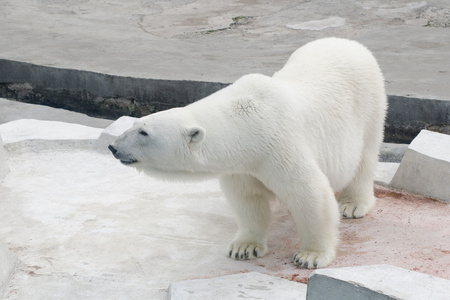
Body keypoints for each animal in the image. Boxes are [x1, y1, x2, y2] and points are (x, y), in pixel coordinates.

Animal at [108, 38, 386, 270]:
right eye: (135, 124)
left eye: (144, 132)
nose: (114, 146)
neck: (246, 123)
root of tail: (350, 43)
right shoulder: (242, 165)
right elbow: (248, 199)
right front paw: (244, 248)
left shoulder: (279, 144)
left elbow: (309, 193)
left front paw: (310, 255)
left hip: (370, 103)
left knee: (365, 157)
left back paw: (352, 204)